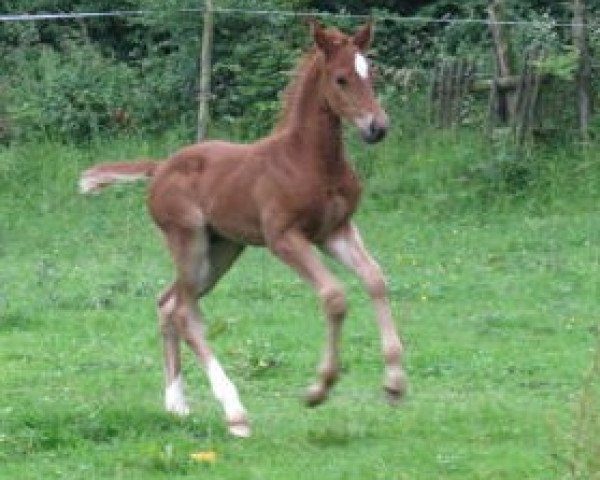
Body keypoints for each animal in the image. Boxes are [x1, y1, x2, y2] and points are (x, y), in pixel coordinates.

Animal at [81, 19, 408, 438]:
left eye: (372, 74)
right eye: (341, 79)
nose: (377, 127)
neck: (309, 159)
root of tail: (160, 167)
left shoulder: (335, 231)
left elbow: (375, 280)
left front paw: (395, 384)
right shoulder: (283, 237)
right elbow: (335, 296)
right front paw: (319, 388)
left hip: (222, 248)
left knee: (168, 303)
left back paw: (177, 404)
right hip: (188, 240)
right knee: (185, 313)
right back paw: (234, 413)